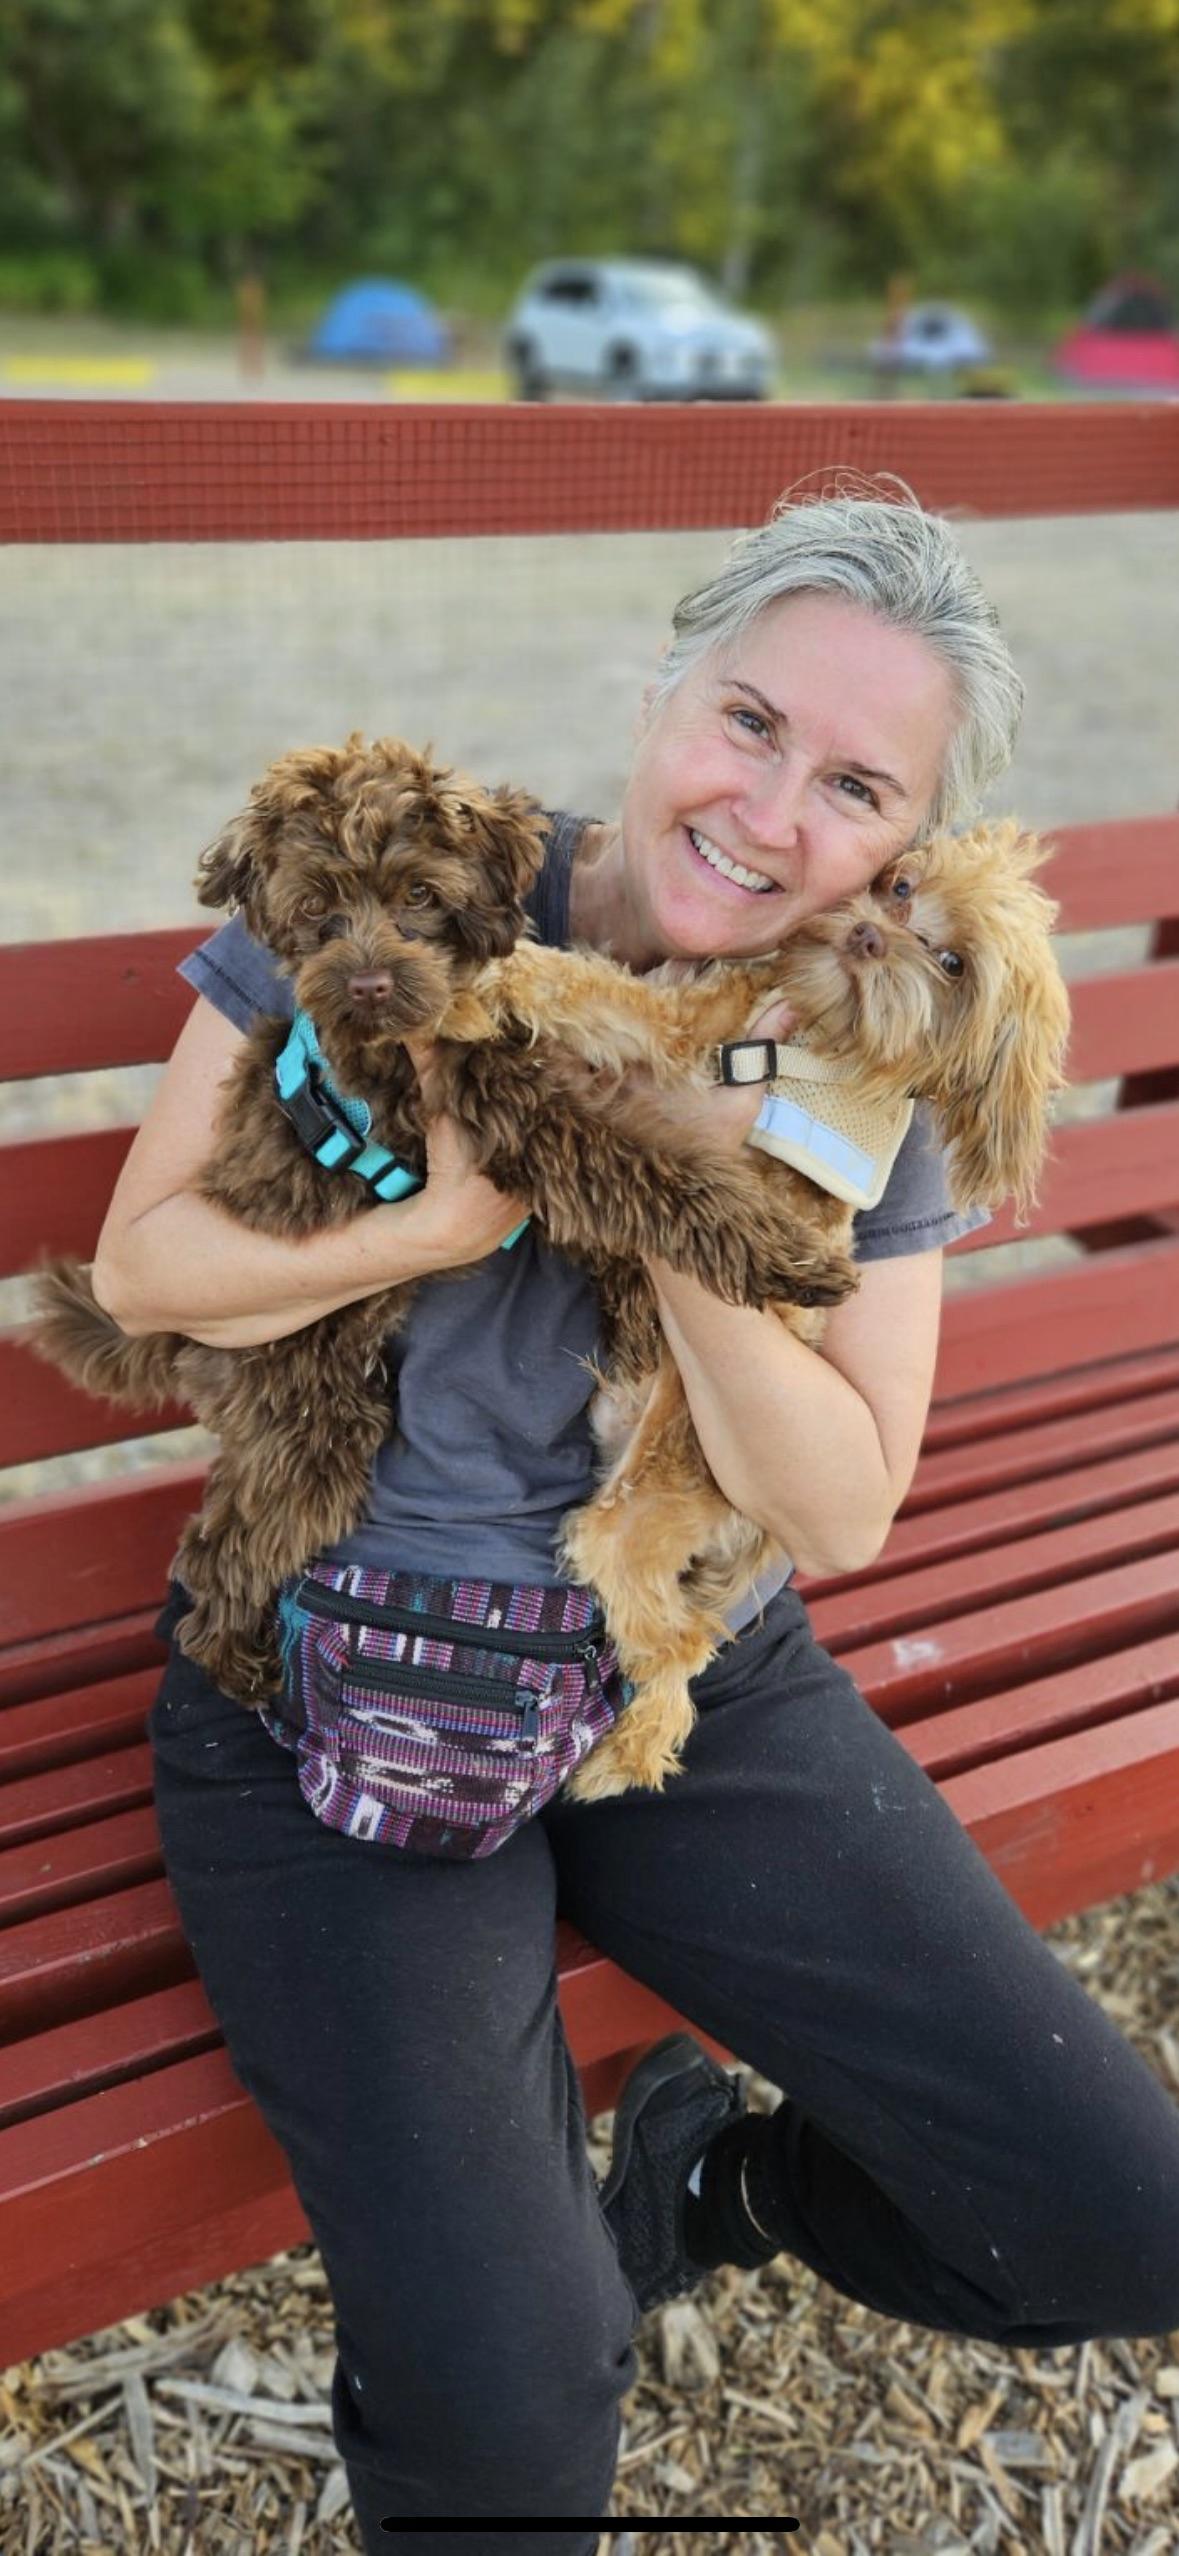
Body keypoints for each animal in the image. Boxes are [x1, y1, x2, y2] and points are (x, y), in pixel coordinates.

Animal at [30, 732, 858, 1706]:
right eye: (316, 905)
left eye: (420, 895)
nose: (368, 985)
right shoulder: (524, 1126)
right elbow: (649, 1174)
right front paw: (782, 1256)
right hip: (310, 1405)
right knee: (226, 1546)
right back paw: (242, 1665)